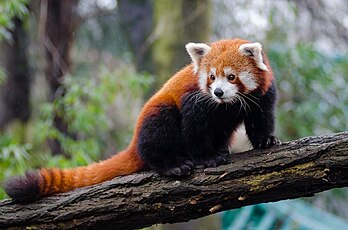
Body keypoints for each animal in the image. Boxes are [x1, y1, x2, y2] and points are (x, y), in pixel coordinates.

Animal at [3, 38, 280, 202]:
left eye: (231, 77)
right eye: (211, 77)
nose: (218, 92)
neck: (227, 105)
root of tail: (134, 142)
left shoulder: (262, 94)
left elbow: (260, 118)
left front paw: (266, 140)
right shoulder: (195, 100)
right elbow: (194, 130)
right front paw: (207, 157)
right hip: (156, 117)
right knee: (159, 132)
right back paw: (172, 164)